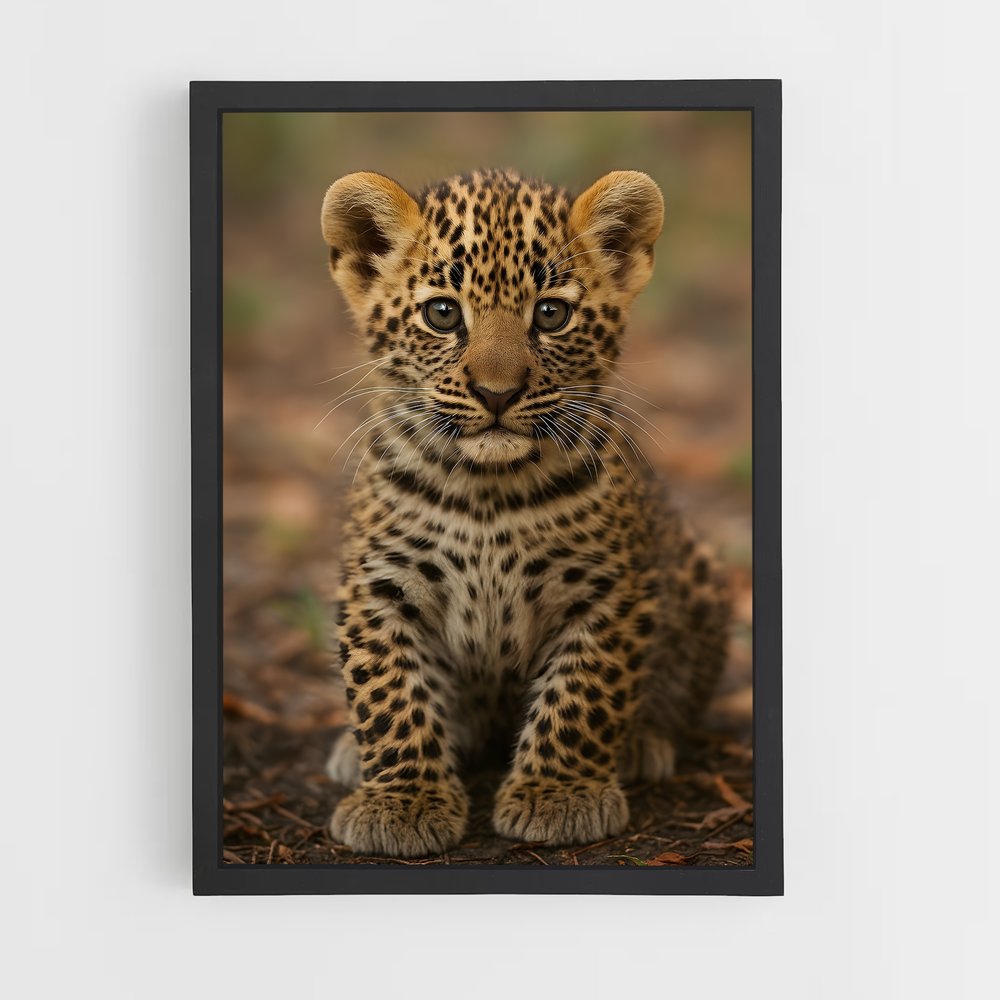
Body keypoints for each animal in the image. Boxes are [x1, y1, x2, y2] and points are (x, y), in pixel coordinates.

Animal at [319, 167, 730, 858]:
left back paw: (643, 744)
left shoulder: (609, 589)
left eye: (551, 313)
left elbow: (584, 692)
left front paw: (559, 794)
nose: (497, 393)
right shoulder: (378, 586)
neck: (487, 490)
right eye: (442, 313)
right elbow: (389, 690)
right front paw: (401, 801)